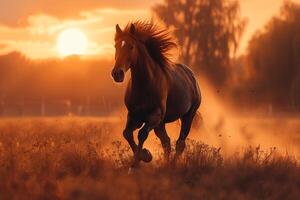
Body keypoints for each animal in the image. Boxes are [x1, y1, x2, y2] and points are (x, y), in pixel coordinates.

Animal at [111, 20, 200, 167]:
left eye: (131, 46)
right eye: (116, 46)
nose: (117, 74)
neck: (145, 85)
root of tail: (191, 76)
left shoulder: (154, 116)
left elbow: (141, 134)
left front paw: (142, 158)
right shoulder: (134, 116)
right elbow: (127, 133)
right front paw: (144, 155)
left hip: (187, 116)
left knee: (180, 143)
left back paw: (171, 166)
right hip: (161, 124)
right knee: (167, 142)